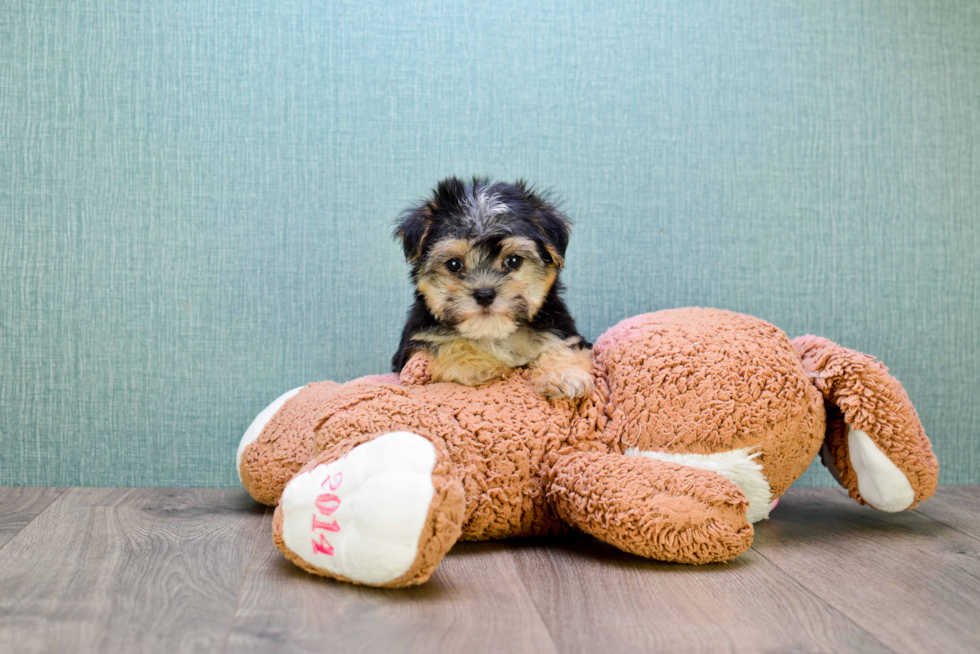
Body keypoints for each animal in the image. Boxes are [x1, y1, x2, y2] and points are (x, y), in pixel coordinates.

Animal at [392, 177, 592, 400]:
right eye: (454, 264)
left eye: (513, 261)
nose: (485, 294)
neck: (492, 333)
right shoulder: (414, 343)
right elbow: (446, 343)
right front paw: (481, 364)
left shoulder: (559, 328)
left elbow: (560, 345)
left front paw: (565, 374)